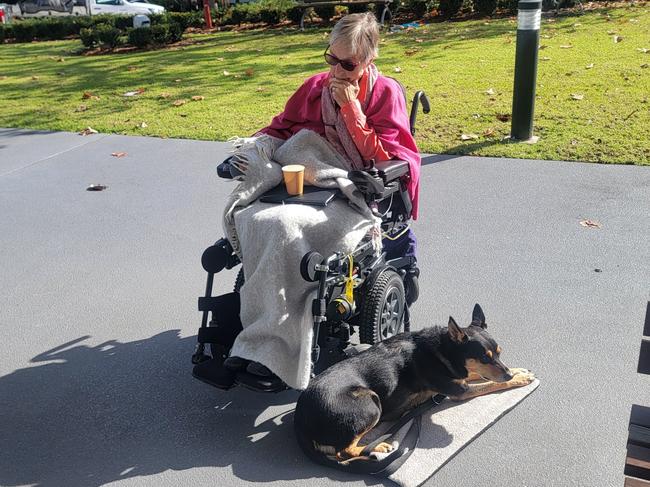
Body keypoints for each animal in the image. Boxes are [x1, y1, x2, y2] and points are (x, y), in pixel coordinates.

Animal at [292, 304, 532, 462]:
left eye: (499, 353)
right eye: (484, 358)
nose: (507, 374)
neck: (444, 351)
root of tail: (300, 420)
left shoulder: (461, 376)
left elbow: (482, 376)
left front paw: (518, 371)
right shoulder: (459, 390)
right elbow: (492, 384)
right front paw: (520, 378)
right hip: (370, 402)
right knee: (344, 452)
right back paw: (377, 447)